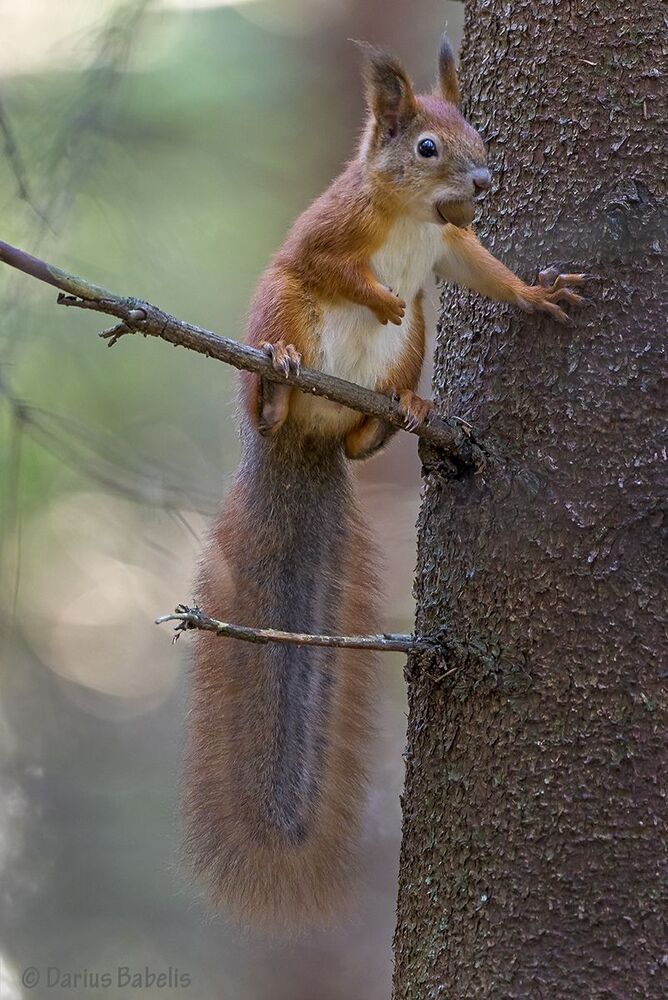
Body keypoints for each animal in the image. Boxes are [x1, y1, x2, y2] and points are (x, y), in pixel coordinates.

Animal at [184, 34, 585, 931]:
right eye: (427, 146)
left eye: (478, 133)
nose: (484, 185)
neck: (410, 215)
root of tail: (309, 437)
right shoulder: (327, 233)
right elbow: (329, 264)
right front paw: (375, 293)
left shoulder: (449, 251)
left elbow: (482, 270)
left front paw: (536, 293)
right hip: (279, 309)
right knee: (277, 361)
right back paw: (279, 382)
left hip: (409, 355)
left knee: (380, 414)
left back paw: (400, 414)